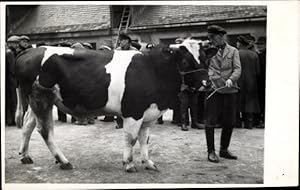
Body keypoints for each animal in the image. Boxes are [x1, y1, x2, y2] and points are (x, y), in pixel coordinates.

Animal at [15, 38, 217, 172]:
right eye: (185, 61)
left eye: (205, 59)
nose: (207, 83)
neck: (153, 69)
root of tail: (29, 51)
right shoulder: (133, 111)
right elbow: (131, 138)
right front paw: (129, 163)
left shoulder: (148, 112)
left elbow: (145, 139)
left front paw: (148, 163)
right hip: (42, 98)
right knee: (45, 131)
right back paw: (63, 161)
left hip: (38, 100)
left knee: (28, 124)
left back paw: (25, 156)